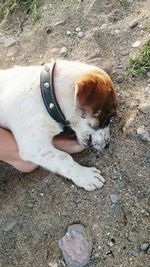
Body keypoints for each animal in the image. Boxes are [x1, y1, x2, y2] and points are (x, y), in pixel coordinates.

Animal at [0, 59, 117, 192]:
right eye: (108, 117)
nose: (107, 146)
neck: (46, 97)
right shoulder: (33, 147)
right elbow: (64, 158)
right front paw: (85, 176)